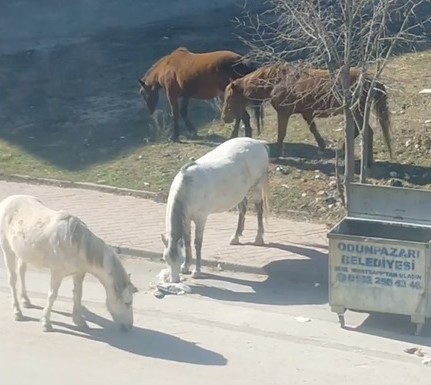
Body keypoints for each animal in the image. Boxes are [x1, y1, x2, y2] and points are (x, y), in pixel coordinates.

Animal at [0, 194, 138, 332]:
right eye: (127, 303)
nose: (129, 326)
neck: (76, 243)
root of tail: (6, 201)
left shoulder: (79, 273)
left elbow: (78, 295)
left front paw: (79, 321)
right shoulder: (57, 273)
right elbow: (52, 295)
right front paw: (46, 323)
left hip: (23, 252)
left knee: (22, 271)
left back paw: (26, 301)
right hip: (8, 250)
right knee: (12, 280)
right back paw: (17, 312)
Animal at [162, 136, 270, 282]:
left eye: (179, 259)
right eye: (165, 259)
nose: (174, 281)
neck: (188, 187)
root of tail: (258, 142)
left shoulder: (200, 219)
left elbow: (197, 243)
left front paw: (196, 271)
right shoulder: (187, 219)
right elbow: (187, 240)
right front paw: (186, 266)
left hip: (257, 186)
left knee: (259, 209)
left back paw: (259, 238)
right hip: (240, 192)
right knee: (242, 208)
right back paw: (236, 236)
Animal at [223, 63, 394, 165]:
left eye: (230, 97)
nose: (224, 118)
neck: (278, 81)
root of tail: (371, 81)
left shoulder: (284, 114)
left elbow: (281, 133)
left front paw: (277, 152)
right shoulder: (306, 113)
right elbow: (313, 129)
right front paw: (322, 146)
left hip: (357, 112)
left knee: (366, 132)